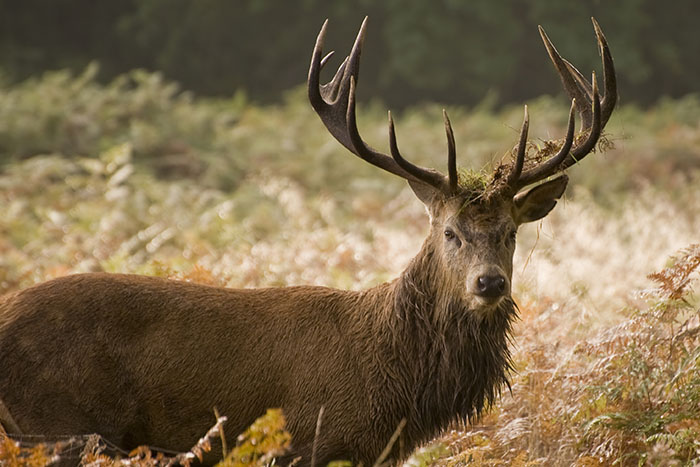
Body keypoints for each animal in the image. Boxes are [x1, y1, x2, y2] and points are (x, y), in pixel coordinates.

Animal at [0, 17, 616, 467]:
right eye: (450, 232)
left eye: (511, 232)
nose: (489, 283)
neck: (393, 384)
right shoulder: (312, 440)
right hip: (53, 426)